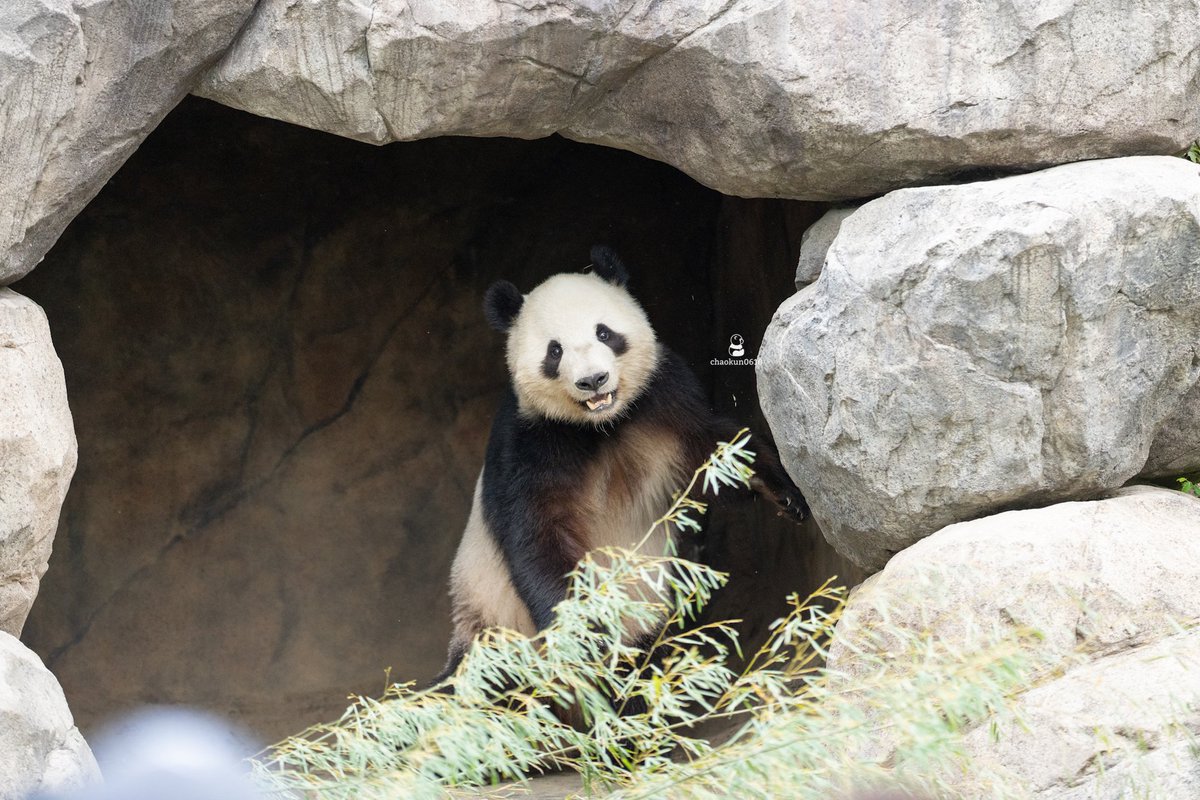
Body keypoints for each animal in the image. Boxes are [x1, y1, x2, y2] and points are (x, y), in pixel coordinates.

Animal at [439, 246, 809, 680]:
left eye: (604, 333)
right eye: (554, 350)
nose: (592, 380)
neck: (602, 427)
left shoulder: (663, 401)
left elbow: (714, 455)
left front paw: (785, 493)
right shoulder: (528, 446)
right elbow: (539, 540)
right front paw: (589, 637)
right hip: (494, 628)